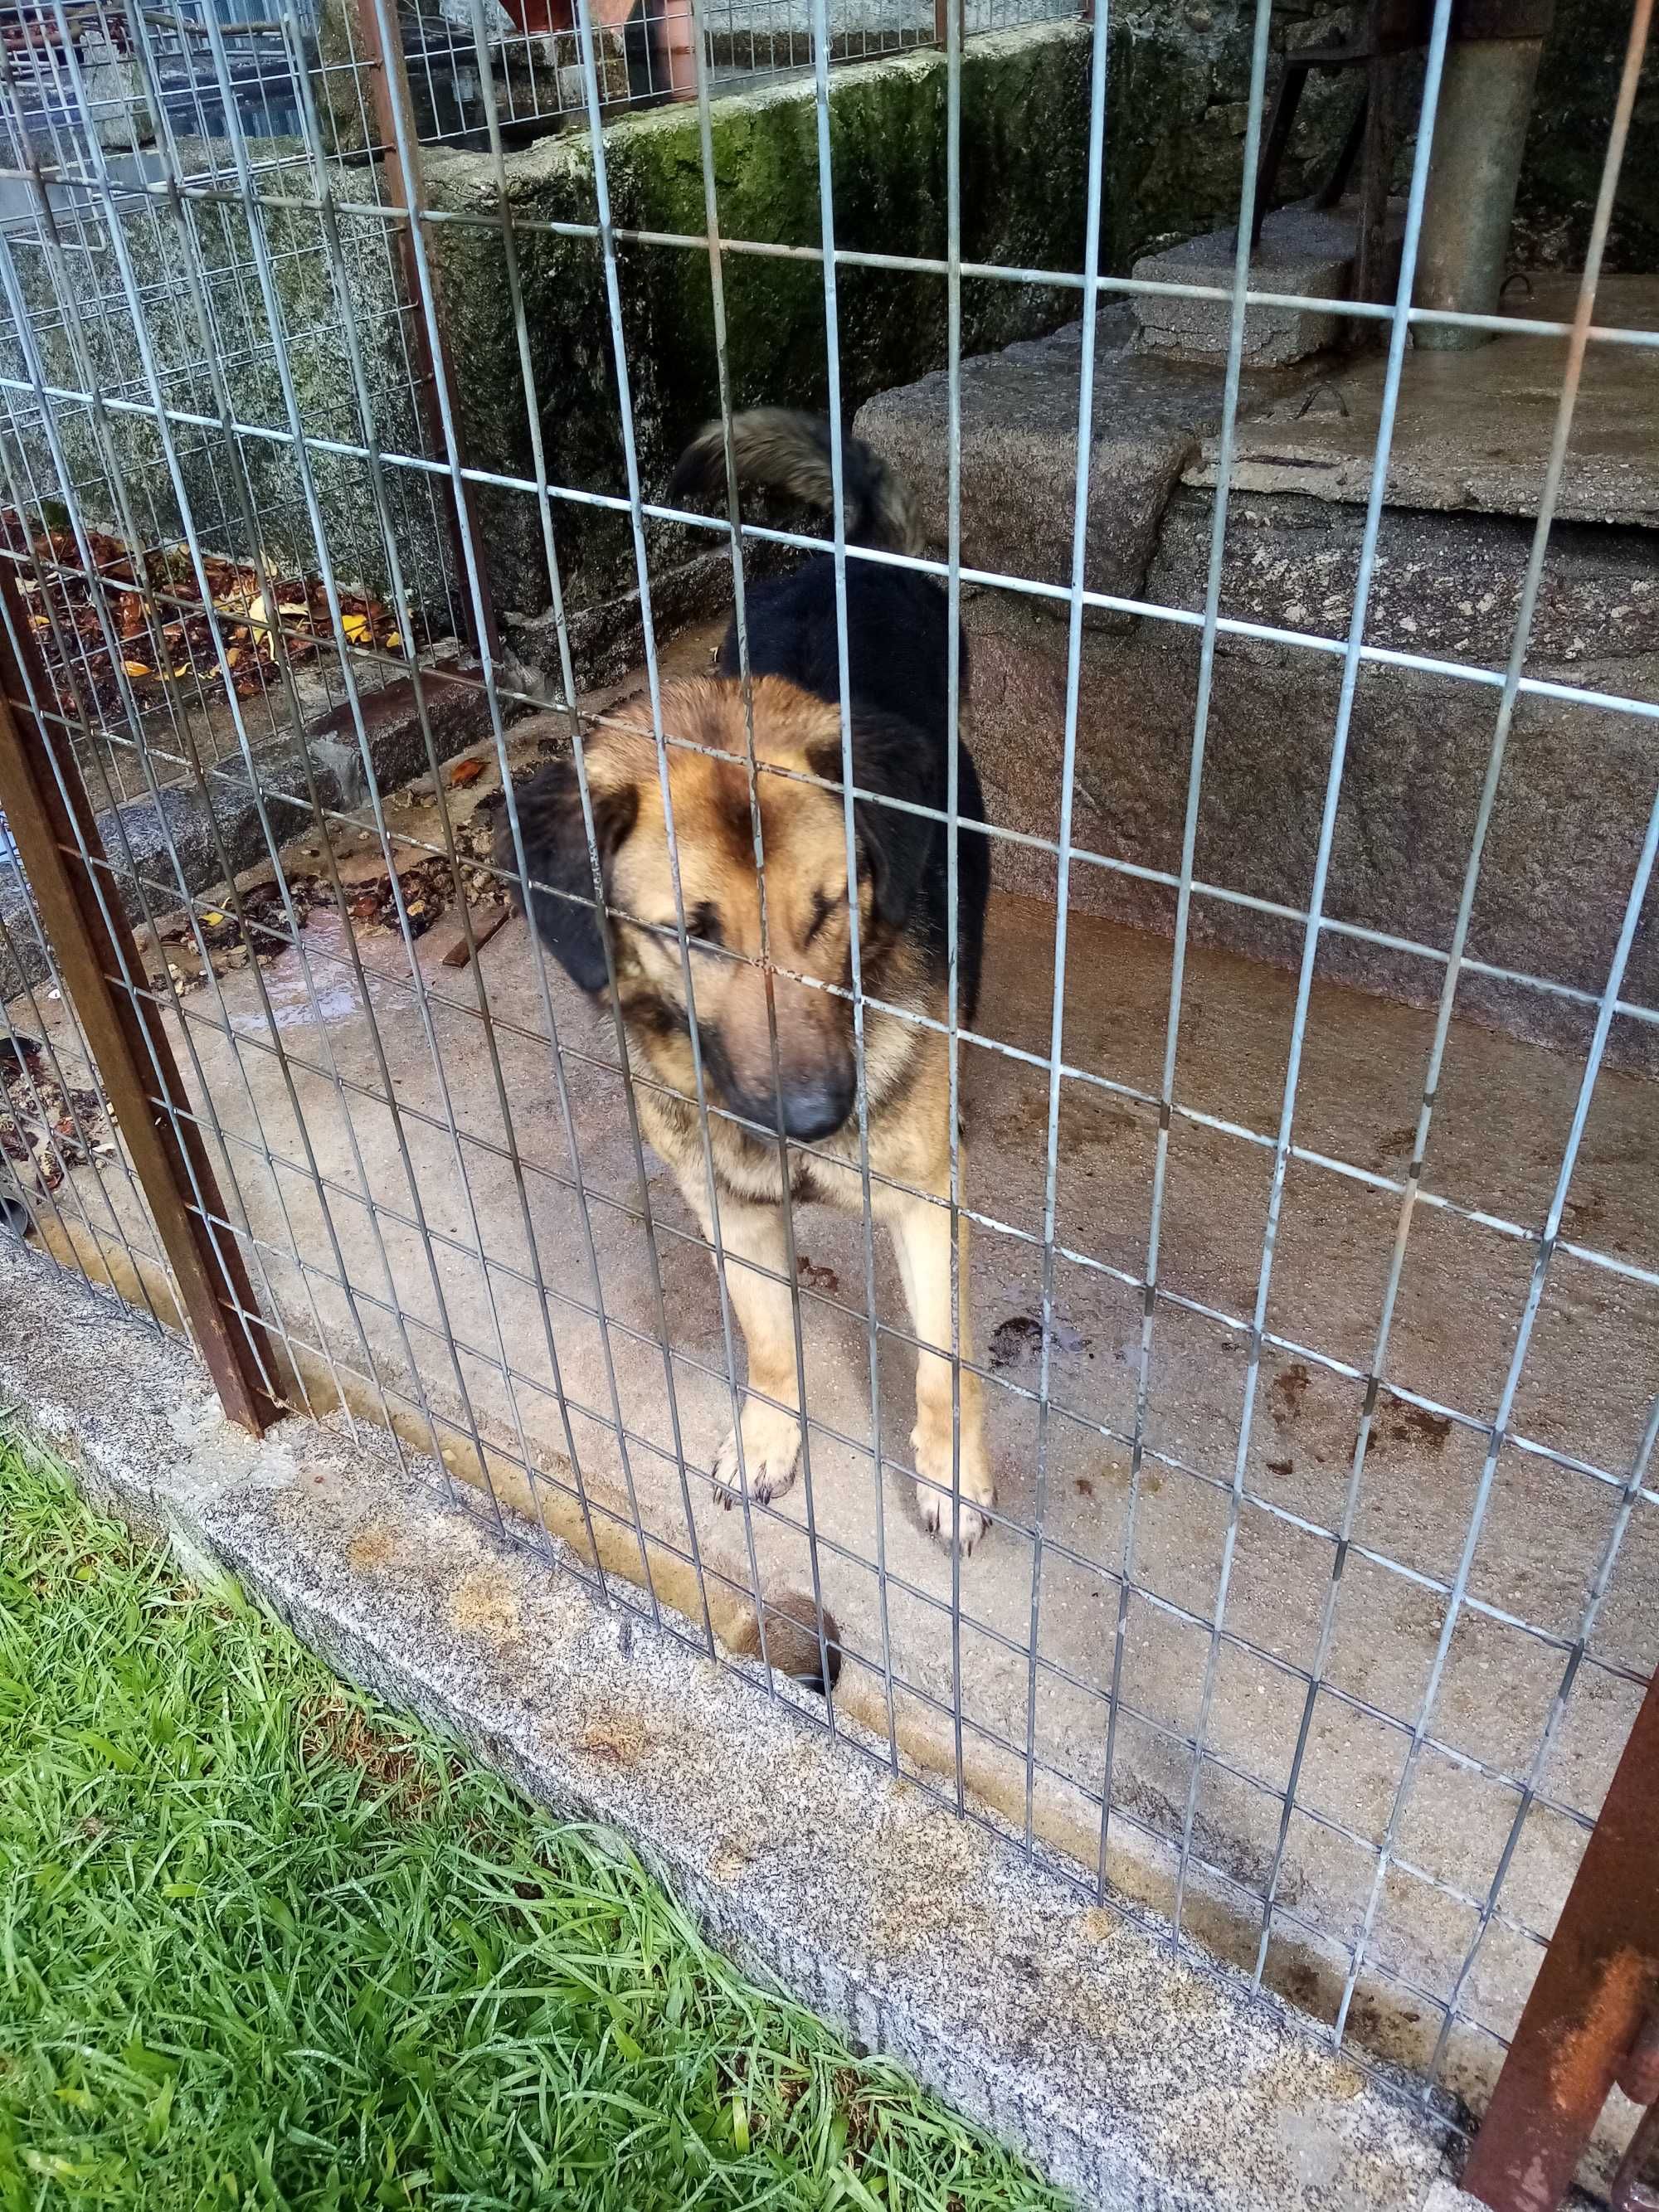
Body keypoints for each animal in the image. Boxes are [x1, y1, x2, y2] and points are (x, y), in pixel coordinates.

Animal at [504, 411, 1000, 1557]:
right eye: (691, 935)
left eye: (828, 910)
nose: (817, 1119)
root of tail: (849, 560)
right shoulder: (722, 1200)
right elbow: (768, 1337)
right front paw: (768, 1437)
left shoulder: (925, 1204)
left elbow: (944, 1362)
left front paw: (951, 1472)